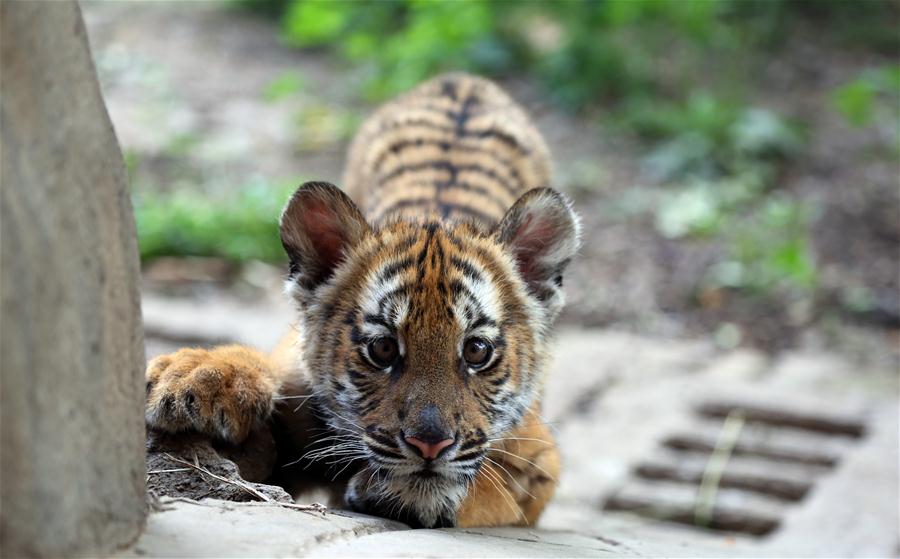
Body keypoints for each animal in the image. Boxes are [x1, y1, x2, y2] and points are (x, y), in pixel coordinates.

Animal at [144, 73, 581, 529]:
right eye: (382, 348)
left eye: (477, 351)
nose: (430, 444)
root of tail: (461, 80)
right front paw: (193, 376)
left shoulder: (540, 462)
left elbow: (491, 483)